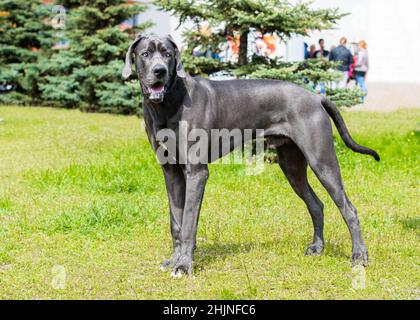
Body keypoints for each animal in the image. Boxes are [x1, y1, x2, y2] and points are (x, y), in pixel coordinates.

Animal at [122, 34, 380, 276]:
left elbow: (188, 223)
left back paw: (359, 256)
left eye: (167, 54)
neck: (168, 102)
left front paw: (184, 265)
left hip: (322, 161)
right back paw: (317, 247)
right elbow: (176, 222)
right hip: (292, 166)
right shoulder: (171, 172)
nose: (160, 71)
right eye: (145, 54)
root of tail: (316, 97)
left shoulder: (196, 173)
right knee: (316, 204)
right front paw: (174, 260)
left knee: (349, 209)